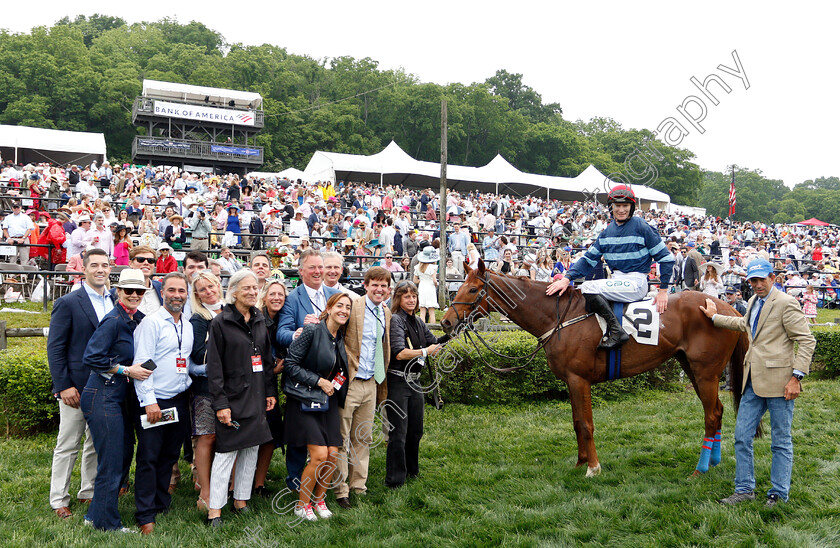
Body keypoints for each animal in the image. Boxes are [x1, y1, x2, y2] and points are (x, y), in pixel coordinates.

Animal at [440, 260, 748, 478]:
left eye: (472, 289)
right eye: (461, 287)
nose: (445, 322)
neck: (558, 316)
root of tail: (728, 309)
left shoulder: (579, 379)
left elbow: (586, 424)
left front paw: (593, 467)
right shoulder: (569, 381)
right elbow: (577, 422)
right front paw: (580, 463)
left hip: (705, 372)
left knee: (711, 415)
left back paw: (700, 469)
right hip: (694, 369)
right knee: (718, 411)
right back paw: (714, 461)